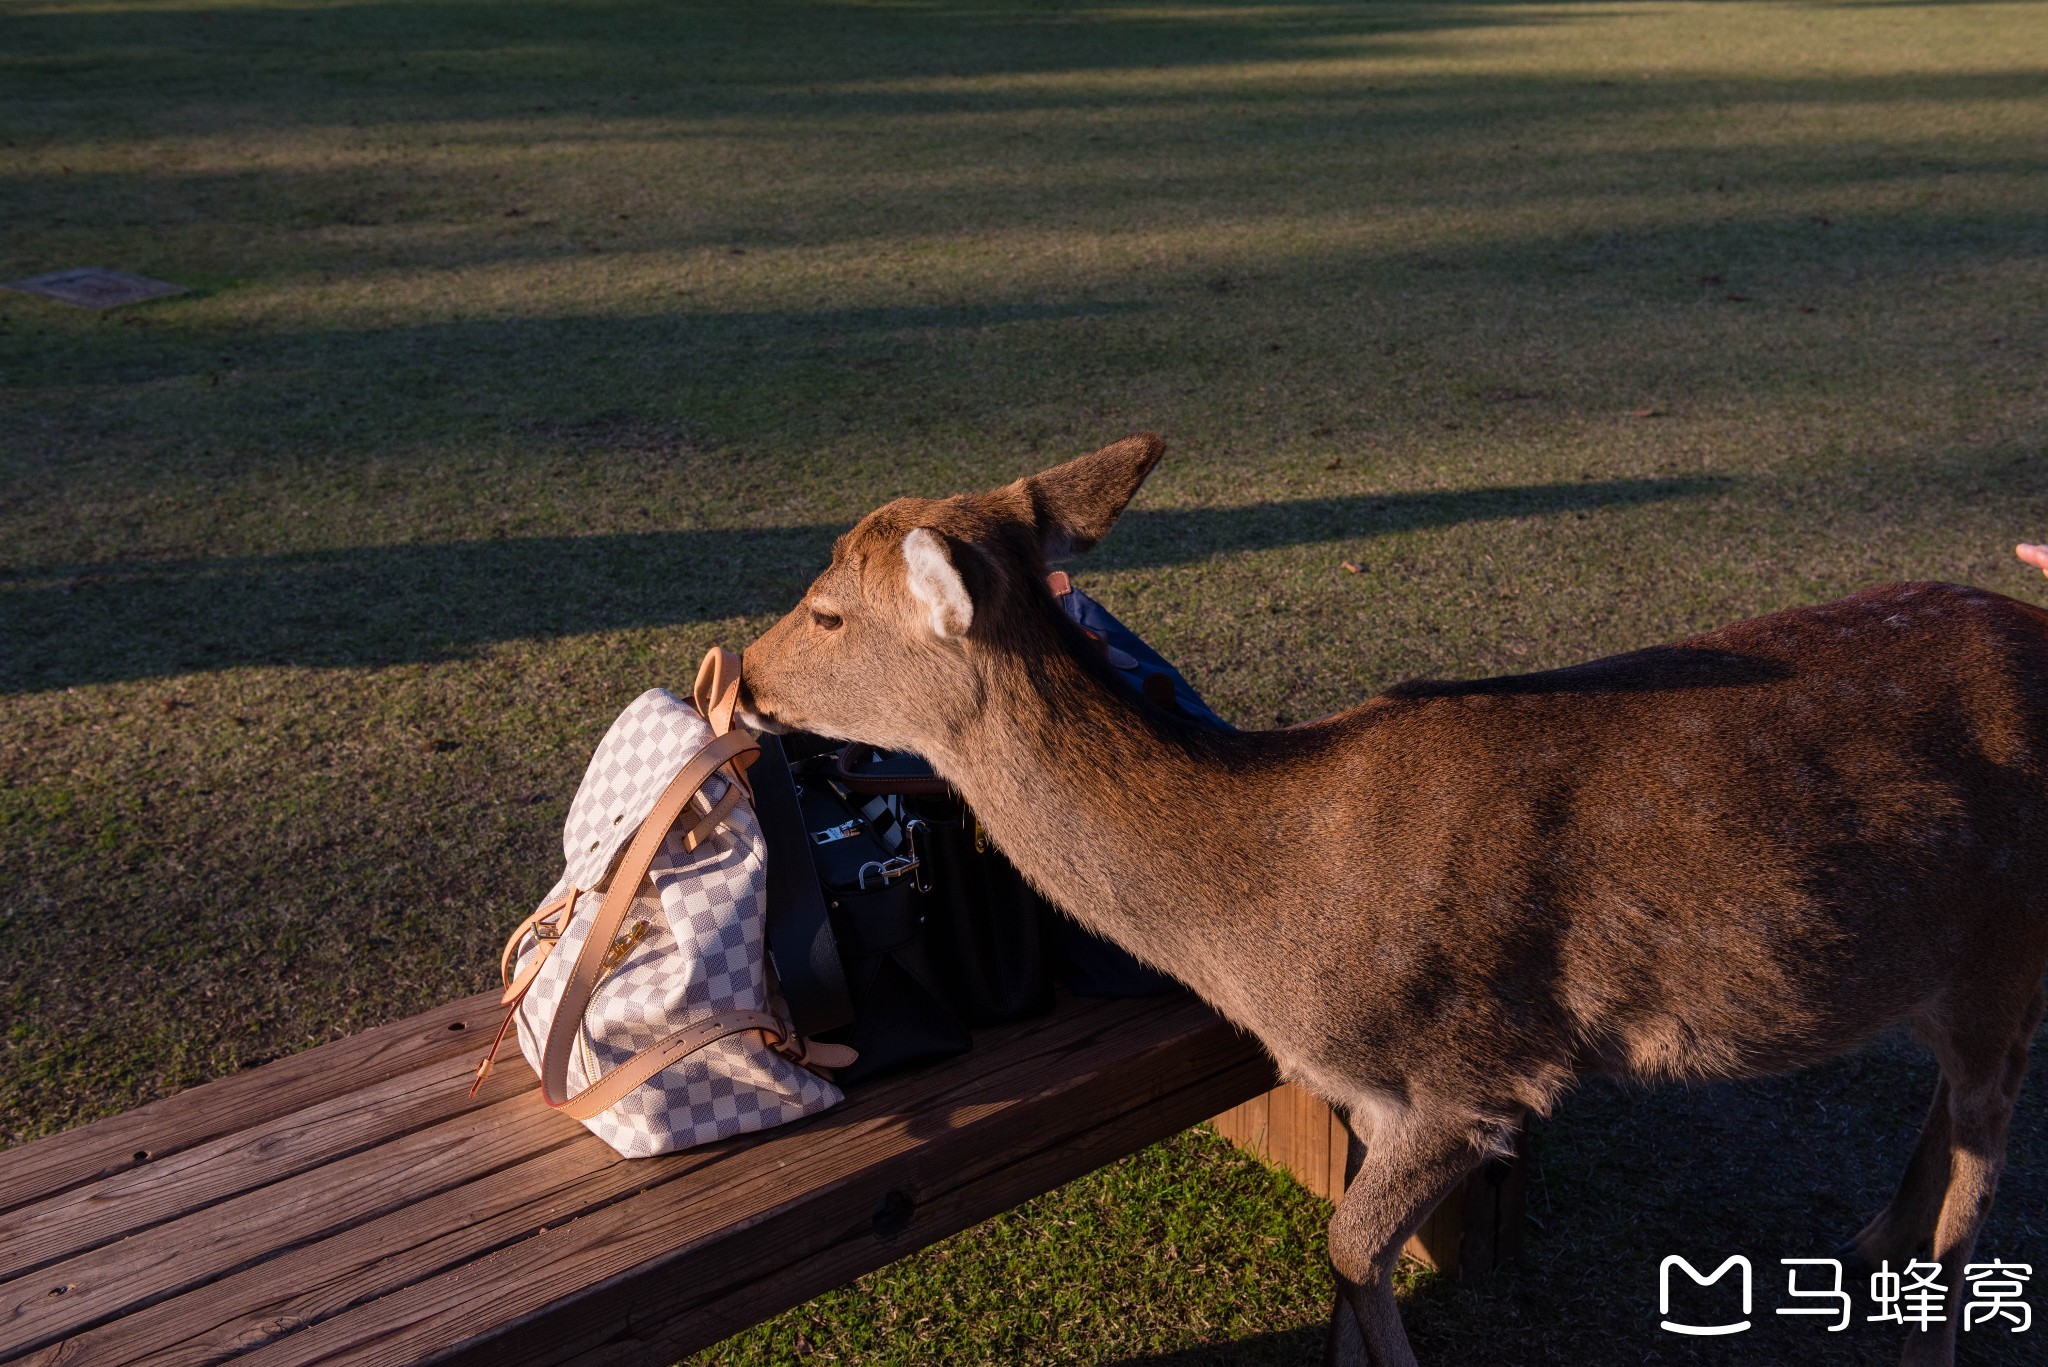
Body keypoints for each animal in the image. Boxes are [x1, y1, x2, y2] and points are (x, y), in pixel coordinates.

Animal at [737, 436, 2048, 1367]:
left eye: (827, 611)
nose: (739, 674)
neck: (1261, 913)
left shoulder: (1477, 1076)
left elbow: (1348, 1243)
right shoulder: (1363, 1090)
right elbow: (1345, 1267)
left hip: (2008, 943)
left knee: (1986, 1152)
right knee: (1946, 1099)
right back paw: (1875, 1245)